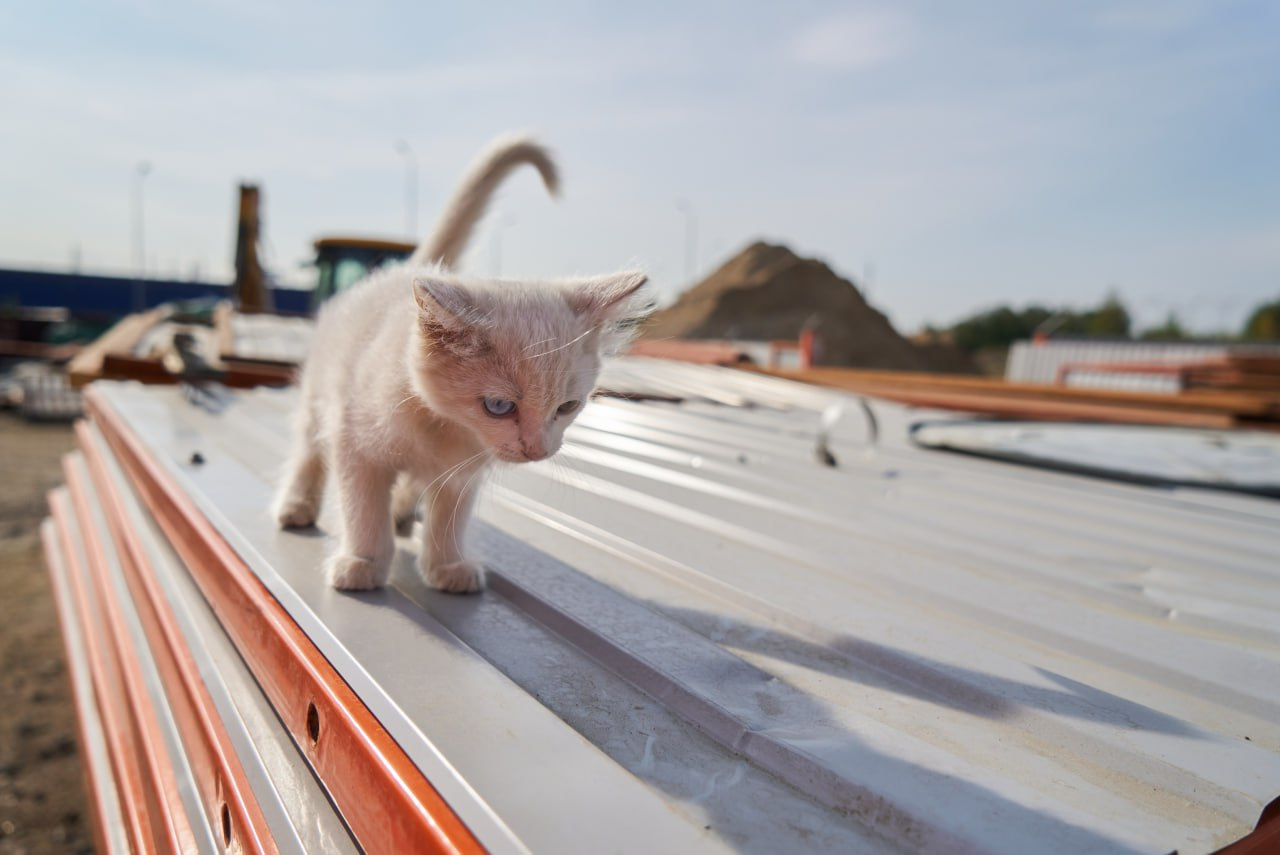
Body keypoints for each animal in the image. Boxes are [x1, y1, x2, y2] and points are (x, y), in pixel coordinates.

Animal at [273, 136, 645, 591]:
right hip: (319, 396)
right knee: (307, 449)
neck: (443, 427)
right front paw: (363, 561)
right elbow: (362, 508)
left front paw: (446, 565)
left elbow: (449, 516)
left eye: (568, 407)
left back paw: (402, 509)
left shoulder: (462, 471)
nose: (537, 450)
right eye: (499, 406)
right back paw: (296, 505)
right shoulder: (354, 444)